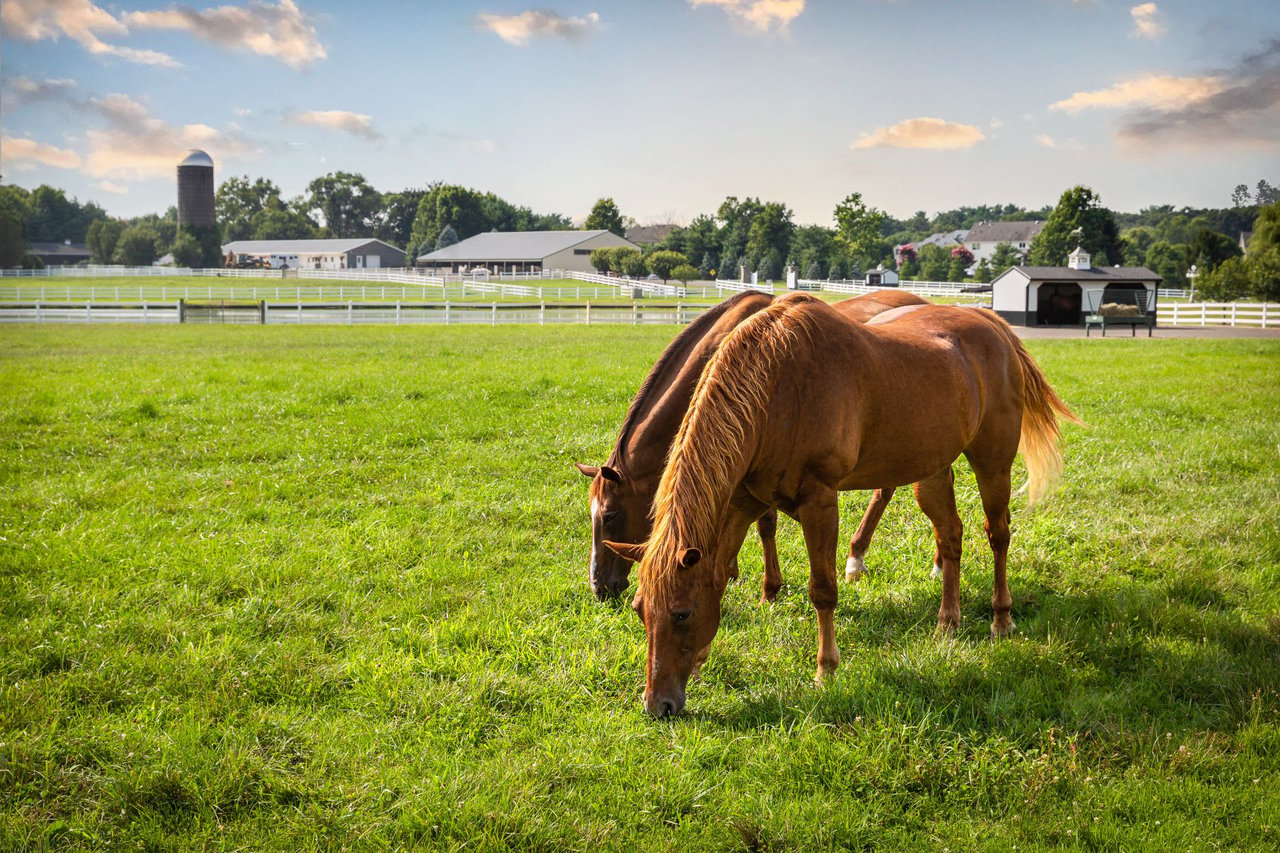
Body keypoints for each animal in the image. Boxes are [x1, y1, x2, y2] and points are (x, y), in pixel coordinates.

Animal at [606, 292, 1080, 712]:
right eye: (639, 610)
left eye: (682, 614)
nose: (658, 705)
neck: (777, 389)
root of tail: (992, 323)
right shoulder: (742, 501)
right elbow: (720, 572)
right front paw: (703, 662)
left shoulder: (819, 501)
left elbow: (823, 590)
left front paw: (826, 670)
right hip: (931, 470)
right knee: (950, 536)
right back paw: (948, 622)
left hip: (992, 463)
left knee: (997, 534)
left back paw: (1001, 618)